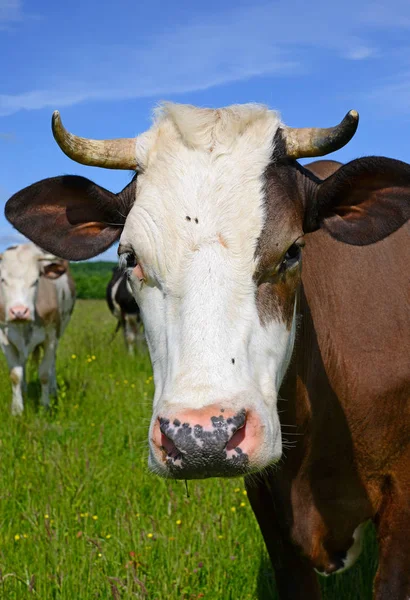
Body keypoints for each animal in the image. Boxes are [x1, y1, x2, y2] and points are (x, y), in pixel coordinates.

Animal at [0, 241, 75, 414]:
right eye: (3, 280)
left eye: (35, 281)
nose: (19, 311)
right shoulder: (4, 339)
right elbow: (15, 374)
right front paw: (17, 409)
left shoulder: (51, 337)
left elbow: (44, 373)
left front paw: (45, 406)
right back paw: (24, 390)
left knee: (52, 361)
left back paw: (53, 390)